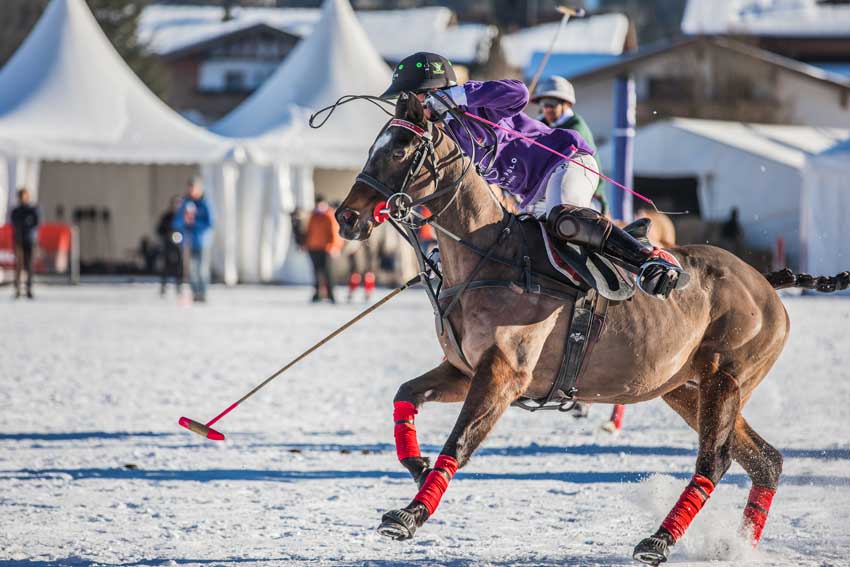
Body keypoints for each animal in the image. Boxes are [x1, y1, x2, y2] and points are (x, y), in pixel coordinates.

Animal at [334, 95, 844, 564]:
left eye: (401, 150)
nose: (346, 217)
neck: (489, 255)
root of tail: (766, 282)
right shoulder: (464, 369)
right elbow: (405, 394)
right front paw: (419, 466)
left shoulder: (504, 373)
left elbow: (458, 441)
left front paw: (409, 515)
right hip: (683, 387)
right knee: (766, 461)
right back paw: (736, 548)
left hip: (726, 377)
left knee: (715, 460)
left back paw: (659, 540)